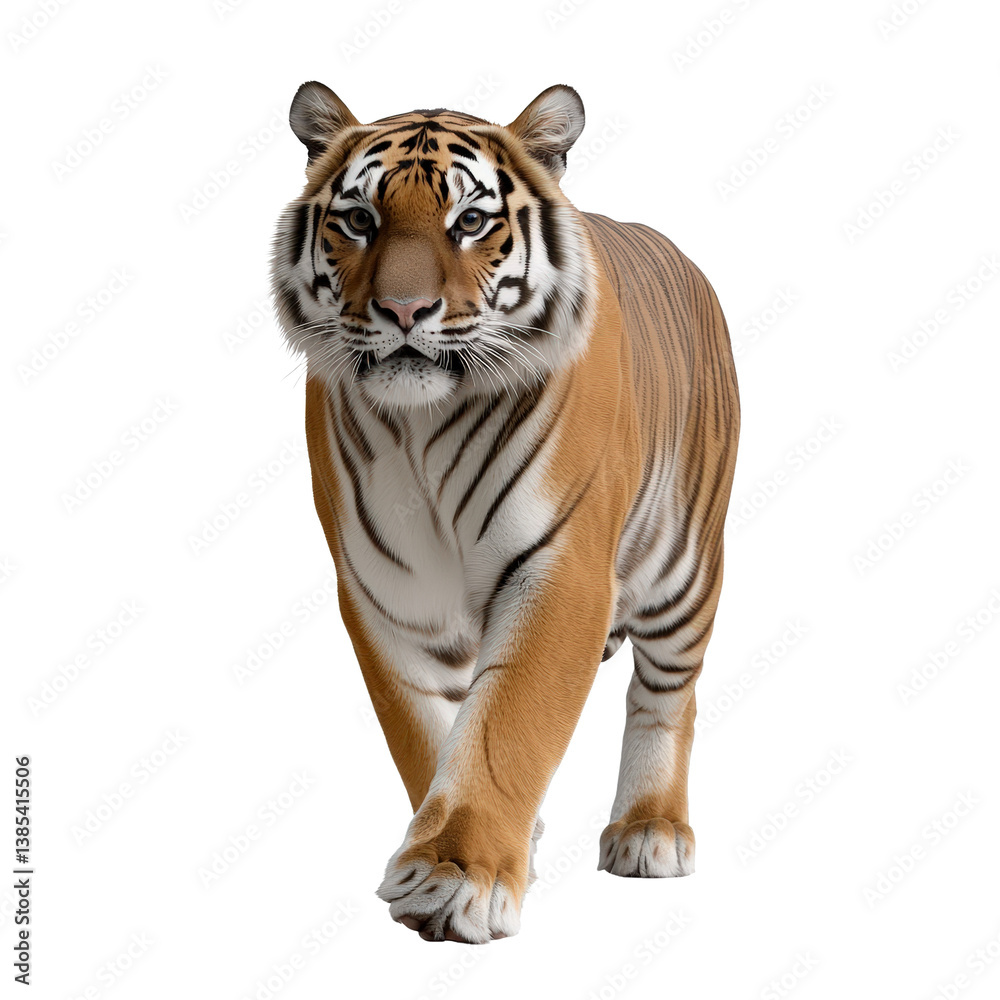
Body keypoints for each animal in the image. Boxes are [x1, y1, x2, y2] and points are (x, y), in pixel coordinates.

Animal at [270, 81, 740, 943]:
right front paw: (474, 847)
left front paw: (457, 879)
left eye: (471, 221)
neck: (423, 426)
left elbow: (506, 726)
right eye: (358, 219)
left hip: (687, 567)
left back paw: (650, 831)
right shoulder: (386, 591)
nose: (405, 310)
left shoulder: (560, 569)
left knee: (666, 693)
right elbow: (426, 734)